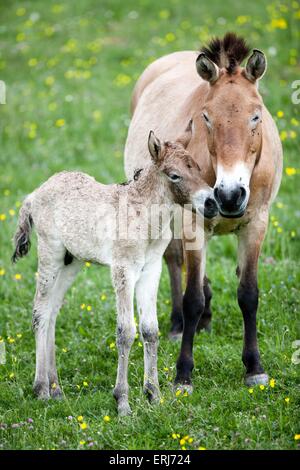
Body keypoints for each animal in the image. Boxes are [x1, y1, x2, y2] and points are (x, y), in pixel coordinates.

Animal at [12, 124, 217, 414]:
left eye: (198, 168)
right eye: (175, 175)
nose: (211, 203)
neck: (144, 217)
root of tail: (33, 195)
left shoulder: (151, 269)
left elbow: (150, 329)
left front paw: (154, 395)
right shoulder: (123, 269)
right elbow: (125, 331)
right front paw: (122, 402)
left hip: (71, 261)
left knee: (52, 312)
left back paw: (57, 390)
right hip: (50, 253)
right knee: (40, 311)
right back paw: (41, 389)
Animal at [123, 33, 282, 390]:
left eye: (256, 116)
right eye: (206, 117)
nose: (230, 195)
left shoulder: (256, 225)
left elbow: (248, 294)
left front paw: (254, 368)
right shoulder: (193, 224)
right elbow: (191, 297)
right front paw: (183, 374)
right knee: (173, 261)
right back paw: (177, 324)